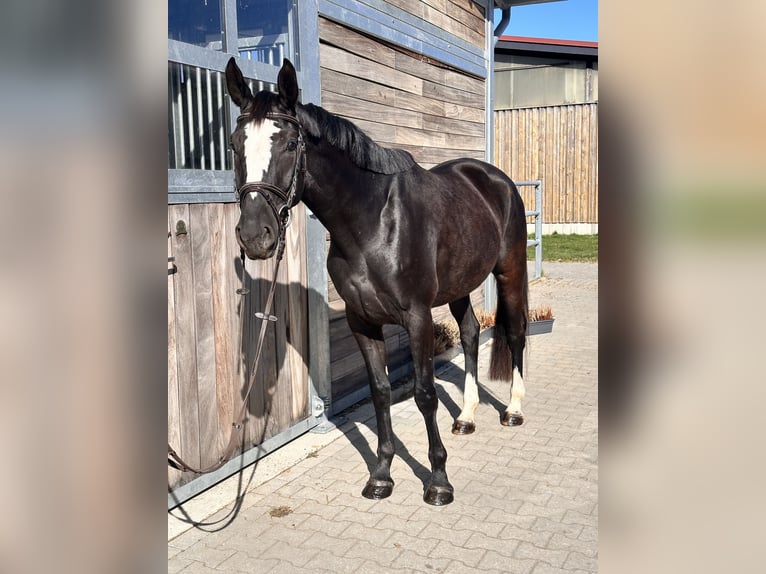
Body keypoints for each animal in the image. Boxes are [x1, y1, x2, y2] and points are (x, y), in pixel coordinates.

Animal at [225, 58, 529, 506]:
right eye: (234, 145)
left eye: (290, 144)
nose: (254, 236)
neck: (372, 223)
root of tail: (494, 178)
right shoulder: (362, 321)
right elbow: (381, 391)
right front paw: (382, 475)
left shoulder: (417, 318)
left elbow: (424, 393)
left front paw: (438, 481)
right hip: (459, 286)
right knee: (472, 333)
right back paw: (467, 416)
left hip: (510, 270)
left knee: (516, 332)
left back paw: (513, 410)